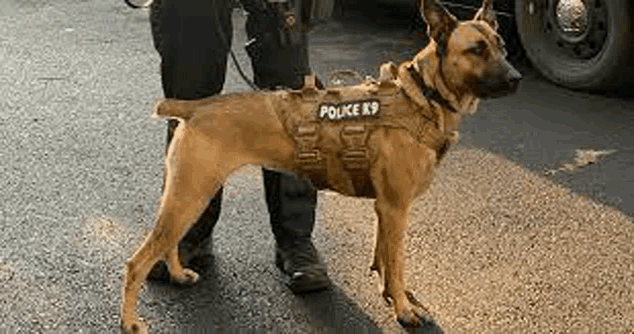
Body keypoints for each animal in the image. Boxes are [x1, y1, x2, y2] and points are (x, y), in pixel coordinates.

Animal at [118, 0, 520, 332]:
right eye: (476, 49)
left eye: (501, 46)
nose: (516, 79)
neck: (422, 95)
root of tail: (196, 106)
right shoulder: (396, 209)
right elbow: (399, 266)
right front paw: (403, 309)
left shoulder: (384, 210)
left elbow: (384, 260)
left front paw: (389, 292)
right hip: (190, 195)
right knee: (137, 262)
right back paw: (131, 321)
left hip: (190, 196)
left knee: (169, 242)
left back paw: (178, 274)